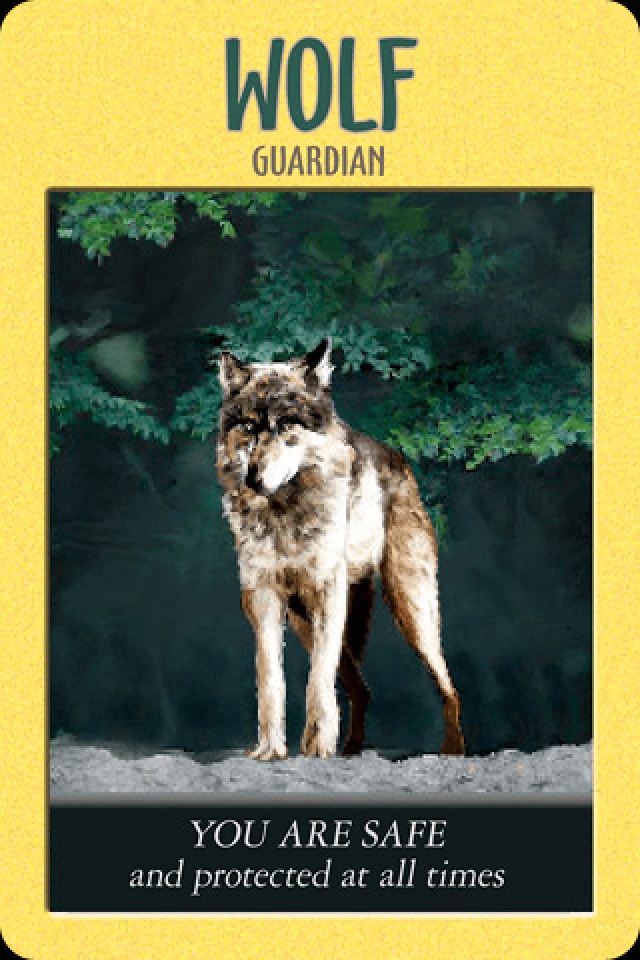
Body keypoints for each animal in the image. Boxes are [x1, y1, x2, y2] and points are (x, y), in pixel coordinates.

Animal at [216, 338, 464, 760]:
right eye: (248, 426)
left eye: (287, 425)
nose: (252, 478)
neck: (286, 518)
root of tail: (396, 458)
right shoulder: (262, 597)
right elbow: (270, 679)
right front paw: (270, 749)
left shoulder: (325, 593)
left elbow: (318, 680)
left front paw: (316, 746)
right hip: (306, 618)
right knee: (360, 689)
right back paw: (351, 747)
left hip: (411, 610)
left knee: (448, 686)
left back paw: (453, 751)